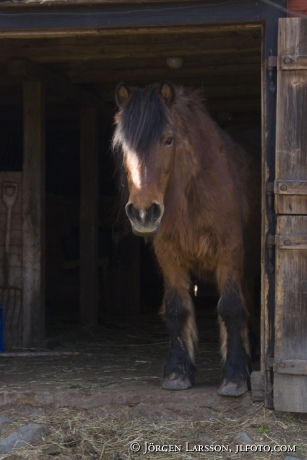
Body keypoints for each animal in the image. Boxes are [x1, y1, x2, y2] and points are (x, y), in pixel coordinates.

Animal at [112, 82, 262, 396]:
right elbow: (177, 308)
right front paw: (178, 371)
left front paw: (234, 375)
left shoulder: (229, 253)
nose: (143, 212)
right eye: (122, 145)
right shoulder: (169, 255)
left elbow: (231, 308)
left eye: (168, 140)